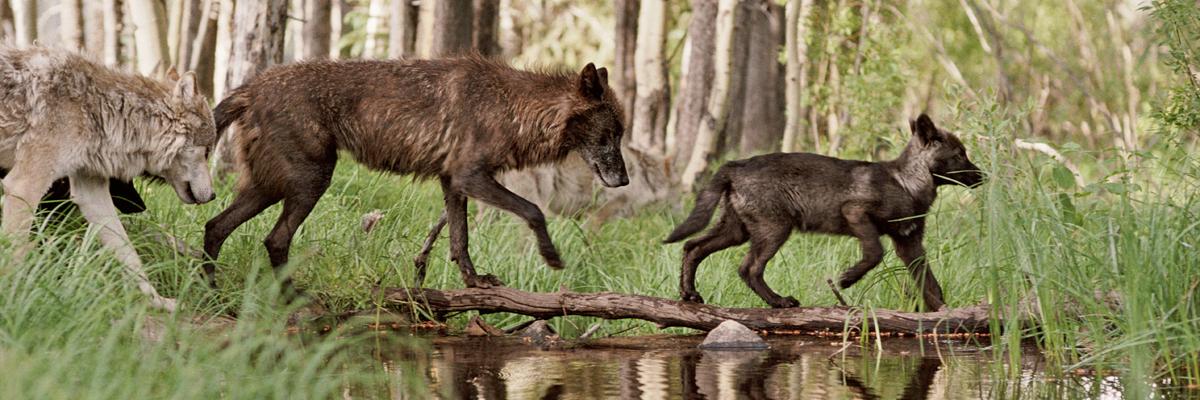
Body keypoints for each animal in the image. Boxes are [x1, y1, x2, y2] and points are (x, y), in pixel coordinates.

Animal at [0, 46, 217, 311]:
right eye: (207, 152)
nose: (214, 195)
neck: (99, 109)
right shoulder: (23, 186)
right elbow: (15, 254)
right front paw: (12, 298)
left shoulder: (91, 194)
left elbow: (130, 254)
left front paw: (158, 300)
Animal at [203, 57, 628, 290]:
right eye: (610, 135)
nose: (624, 181)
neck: (511, 107)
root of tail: (252, 87)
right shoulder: (469, 177)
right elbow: (533, 211)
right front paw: (551, 257)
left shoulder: (453, 182)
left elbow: (459, 242)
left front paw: (475, 283)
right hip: (310, 181)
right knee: (274, 239)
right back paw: (292, 296)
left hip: (270, 187)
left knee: (215, 226)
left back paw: (211, 288)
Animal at [664, 114, 984, 311]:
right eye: (959, 155)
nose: (984, 176)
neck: (906, 182)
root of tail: (735, 165)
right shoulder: (855, 212)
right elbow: (874, 253)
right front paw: (847, 279)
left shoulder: (910, 243)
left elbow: (930, 284)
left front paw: (943, 313)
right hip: (773, 230)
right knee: (748, 268)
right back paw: (779, 302)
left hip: (737, 230)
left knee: (692, 246)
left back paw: (689, 294)